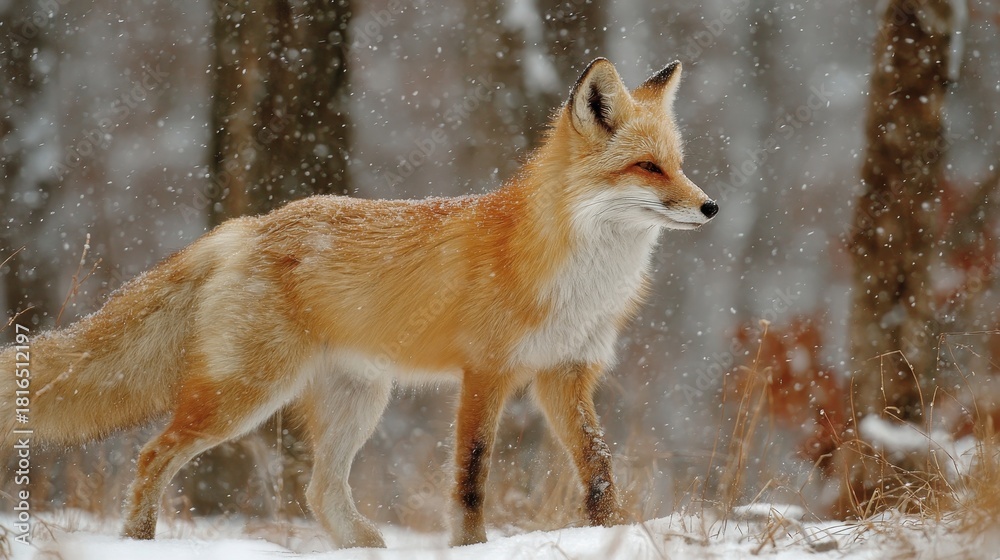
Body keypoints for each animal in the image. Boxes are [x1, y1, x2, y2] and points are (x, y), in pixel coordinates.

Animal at [0, 58, 717, 548]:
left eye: (679, 164)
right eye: (648, 168)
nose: (710, 206)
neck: (576, 280)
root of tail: (248, 226)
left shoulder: (566, 374)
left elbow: (599, 473)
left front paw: (613, 534)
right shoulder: (486, 372)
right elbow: (472, 477)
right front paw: (470, 547)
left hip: (359, 399)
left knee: (320, 491)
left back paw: (365, 548)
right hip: (245, 396)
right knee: (153, 454)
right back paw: (139, 541)